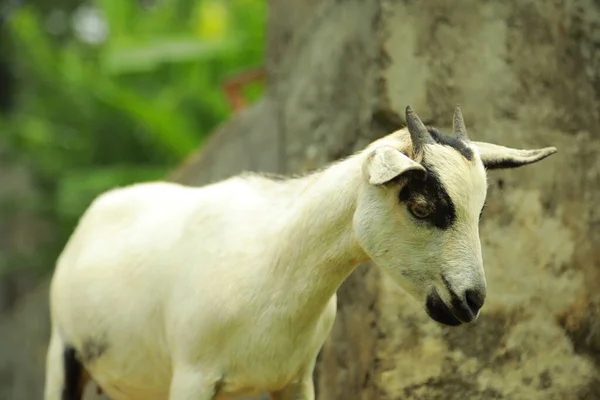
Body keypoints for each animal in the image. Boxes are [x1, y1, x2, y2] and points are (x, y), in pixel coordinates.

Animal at [44, 106, 556, 400]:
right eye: (421, 205)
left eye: (480, 209)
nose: (471, 300)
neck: (274, 269)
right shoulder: (192, 375)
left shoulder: (295, 379)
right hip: (63, 354)